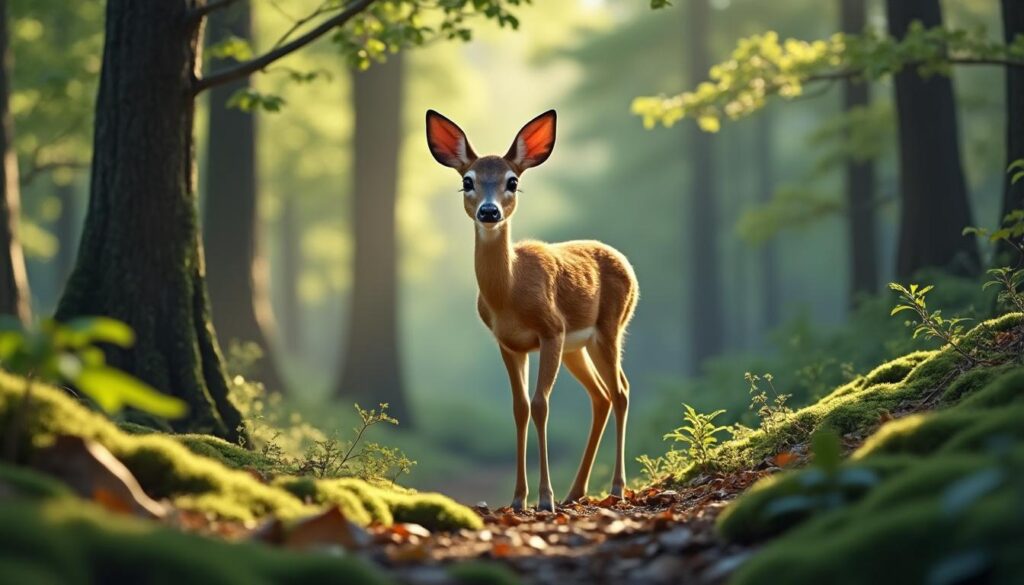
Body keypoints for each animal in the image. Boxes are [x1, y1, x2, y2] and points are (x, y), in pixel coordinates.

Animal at [426, 110, 639, 512]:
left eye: (512, 181)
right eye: (467, 181)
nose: (489, 211)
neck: (508, 295)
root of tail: (626, 263)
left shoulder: (551, 330)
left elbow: (541, 405)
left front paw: (544, 498)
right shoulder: (509, 344)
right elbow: (519, 408)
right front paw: (518, 498)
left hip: (609, 328)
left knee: (620, 390)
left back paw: (616, 488)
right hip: (577, 348)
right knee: (601, 395)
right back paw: (576, 491)